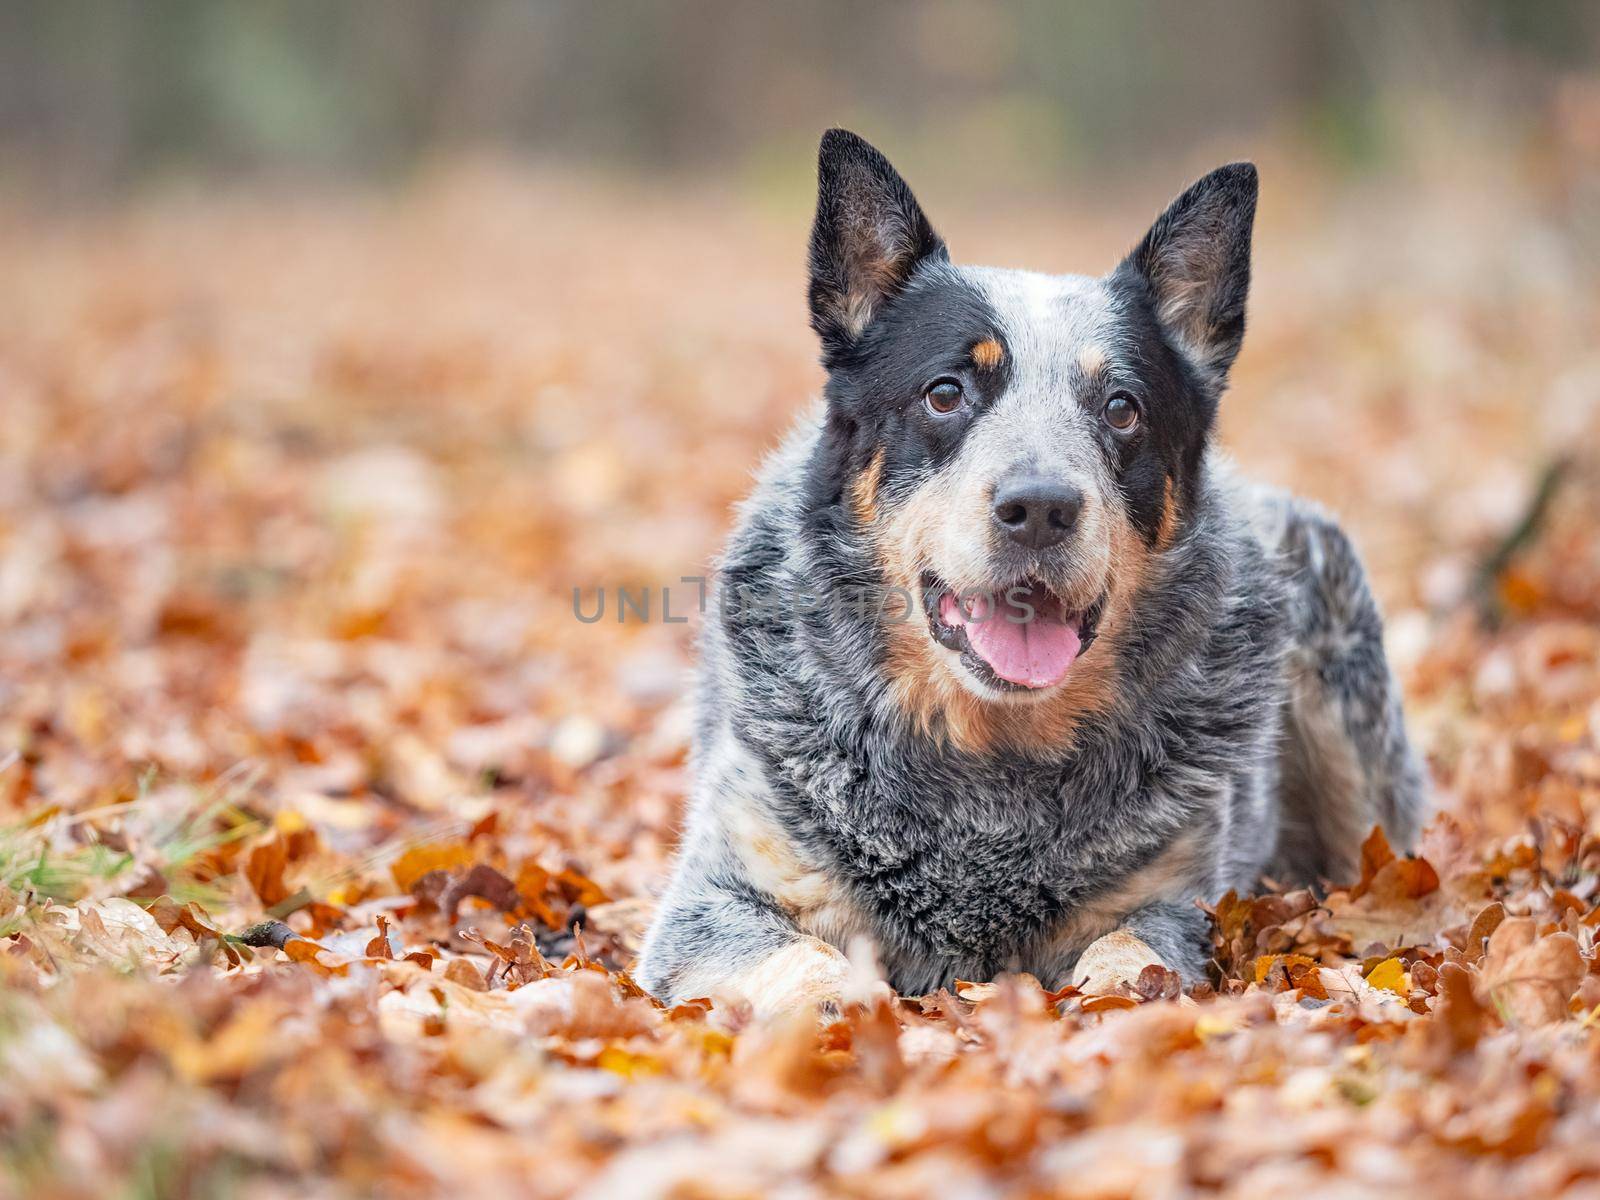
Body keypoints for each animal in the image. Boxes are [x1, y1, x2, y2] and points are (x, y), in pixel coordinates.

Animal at [636, 131, 1427, 1017]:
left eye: (1122, 408)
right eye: (946, 392)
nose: (1041, 506)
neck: (989, 765)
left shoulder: (1170, 900)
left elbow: (1131, 950)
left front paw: (1118, 995)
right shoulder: (711, 904)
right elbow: (804, 963)